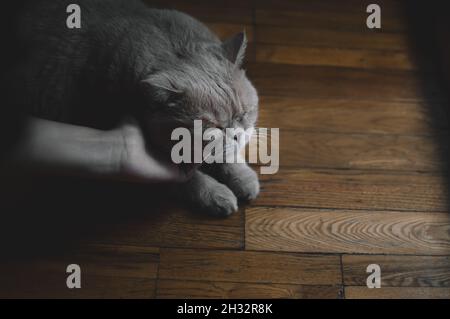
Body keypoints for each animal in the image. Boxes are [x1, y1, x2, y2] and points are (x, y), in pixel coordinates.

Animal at [8, 0, 258, 218]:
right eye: (211, 127)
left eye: (244, 113)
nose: (238, 134)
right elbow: (188, 180)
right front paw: (215, 194)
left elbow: (228, 157)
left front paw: (243, 177)